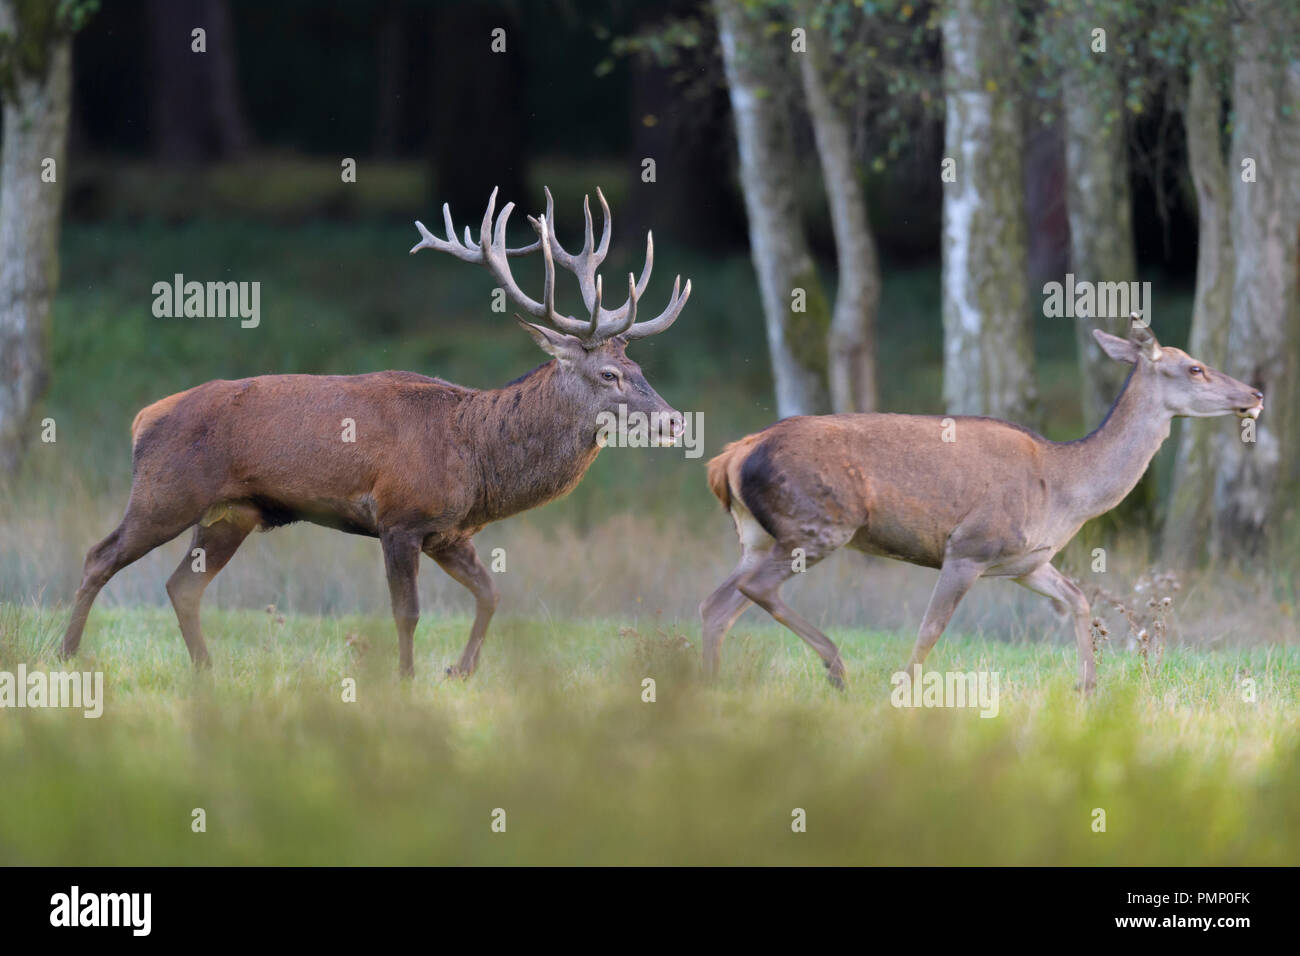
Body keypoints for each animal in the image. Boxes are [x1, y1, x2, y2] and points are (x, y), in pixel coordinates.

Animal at [61, 188, 691, 681]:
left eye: (640, 369)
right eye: (608, 374)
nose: (675, 420)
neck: (476, 456)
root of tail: (144, 416)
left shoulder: (448, 531)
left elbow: (491, 594)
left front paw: (459, 669)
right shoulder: (399, 516)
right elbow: (406, 612)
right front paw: (406, 679)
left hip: (230, 513)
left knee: (181, 587)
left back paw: (205, 668)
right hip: (165, 492)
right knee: (98, 556)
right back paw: (67, 655)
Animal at [707, 317, 1263, 691]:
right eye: (1195, 368)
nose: (1256, 394)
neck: (1066, 493)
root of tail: (731, 456)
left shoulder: (1026, 562)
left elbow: (1079, 599)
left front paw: (1087, 690)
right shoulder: (970, 546)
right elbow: (929, 631)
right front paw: (903, 692)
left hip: (759, 537)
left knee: (717, 604)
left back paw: (708, 683)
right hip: (819, 524)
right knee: (755, 590)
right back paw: (836, 666)